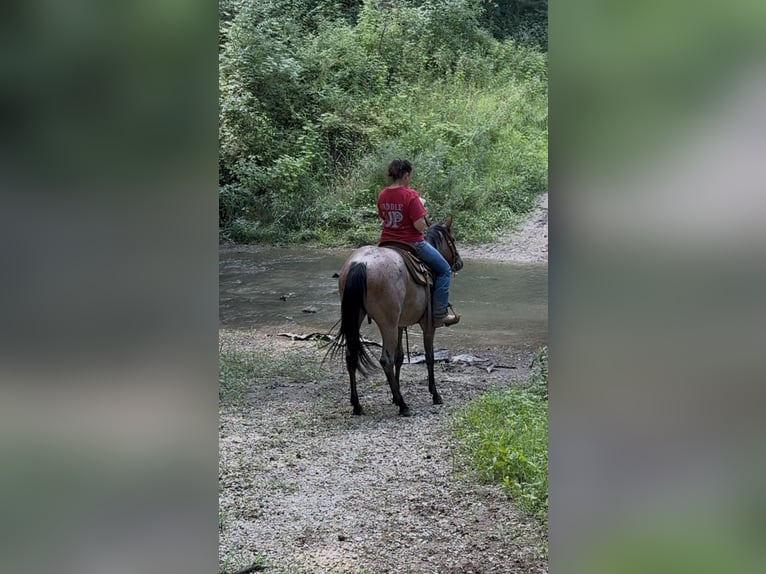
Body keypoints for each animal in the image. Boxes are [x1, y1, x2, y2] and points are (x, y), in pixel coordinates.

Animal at [334, 218, 463, 416]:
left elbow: (400, 357)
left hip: (358, 318)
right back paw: (403, 406)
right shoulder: (427, 325)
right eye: (453, 239)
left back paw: (357, 405)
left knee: (351, 356)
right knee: (385, 360)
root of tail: (361, 264)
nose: (459, 263)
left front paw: (395, 396)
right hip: (387, 324)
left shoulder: (400, 325)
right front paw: (435, 395)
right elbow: (429, 356)